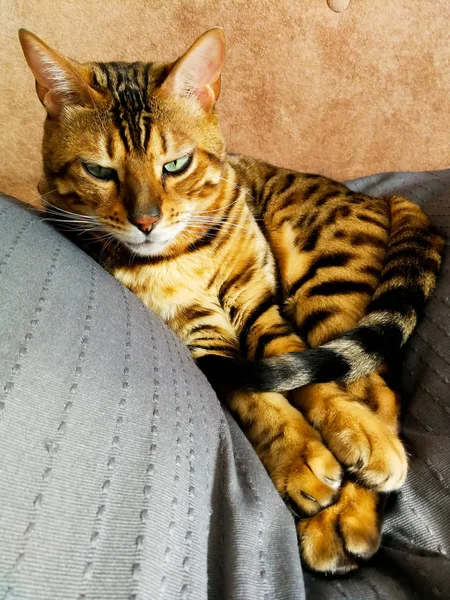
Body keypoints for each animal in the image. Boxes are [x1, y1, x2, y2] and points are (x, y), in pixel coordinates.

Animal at [20, 27, 442, 572]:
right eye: (99, 171)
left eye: (175, 164)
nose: (146, 221)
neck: (183, 254)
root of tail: (381, 197)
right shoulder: (200, 332)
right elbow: (257, 397)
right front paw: (302, 461)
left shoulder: (259, 305)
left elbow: (305, 375)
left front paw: (357, 435)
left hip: (323, 282)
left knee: (374, 388)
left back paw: (350, 504)